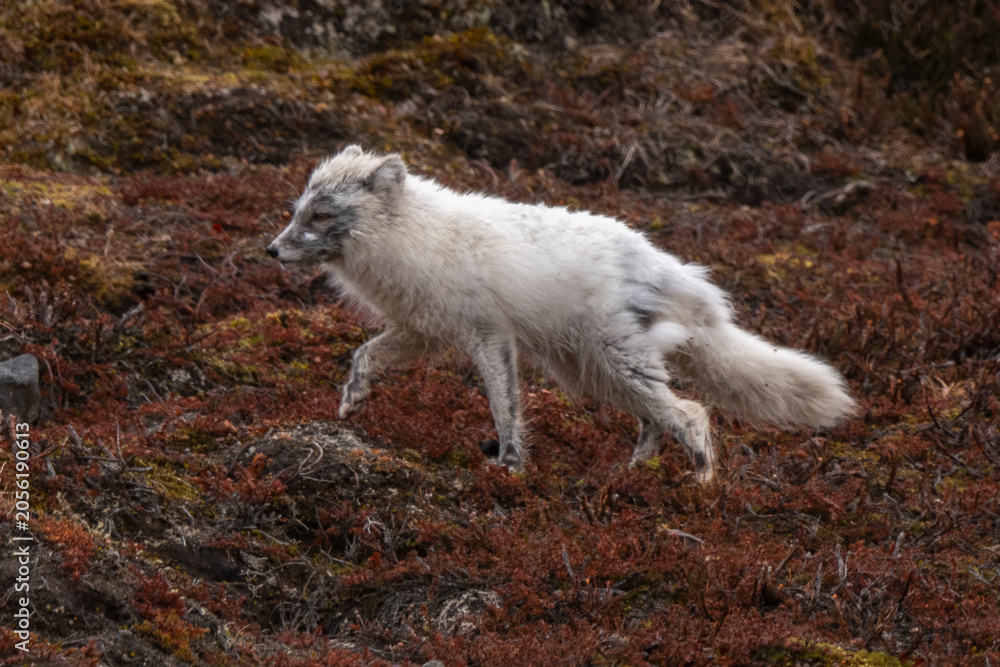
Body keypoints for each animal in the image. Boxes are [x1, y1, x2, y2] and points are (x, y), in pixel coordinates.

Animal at [267, 145, 855, 482]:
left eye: (321, 216)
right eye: (296, 211)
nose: (271, 250)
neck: (414, 237)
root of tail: (672, 269)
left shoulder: (489, 336)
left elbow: (504, 409)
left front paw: (509, 466)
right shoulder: (423, 331)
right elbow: (362, 354)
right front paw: (352, 400)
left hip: (614, 364)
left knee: (690, 414)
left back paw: (702, 488)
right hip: (589, 373)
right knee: (655, 419)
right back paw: (630, 477)